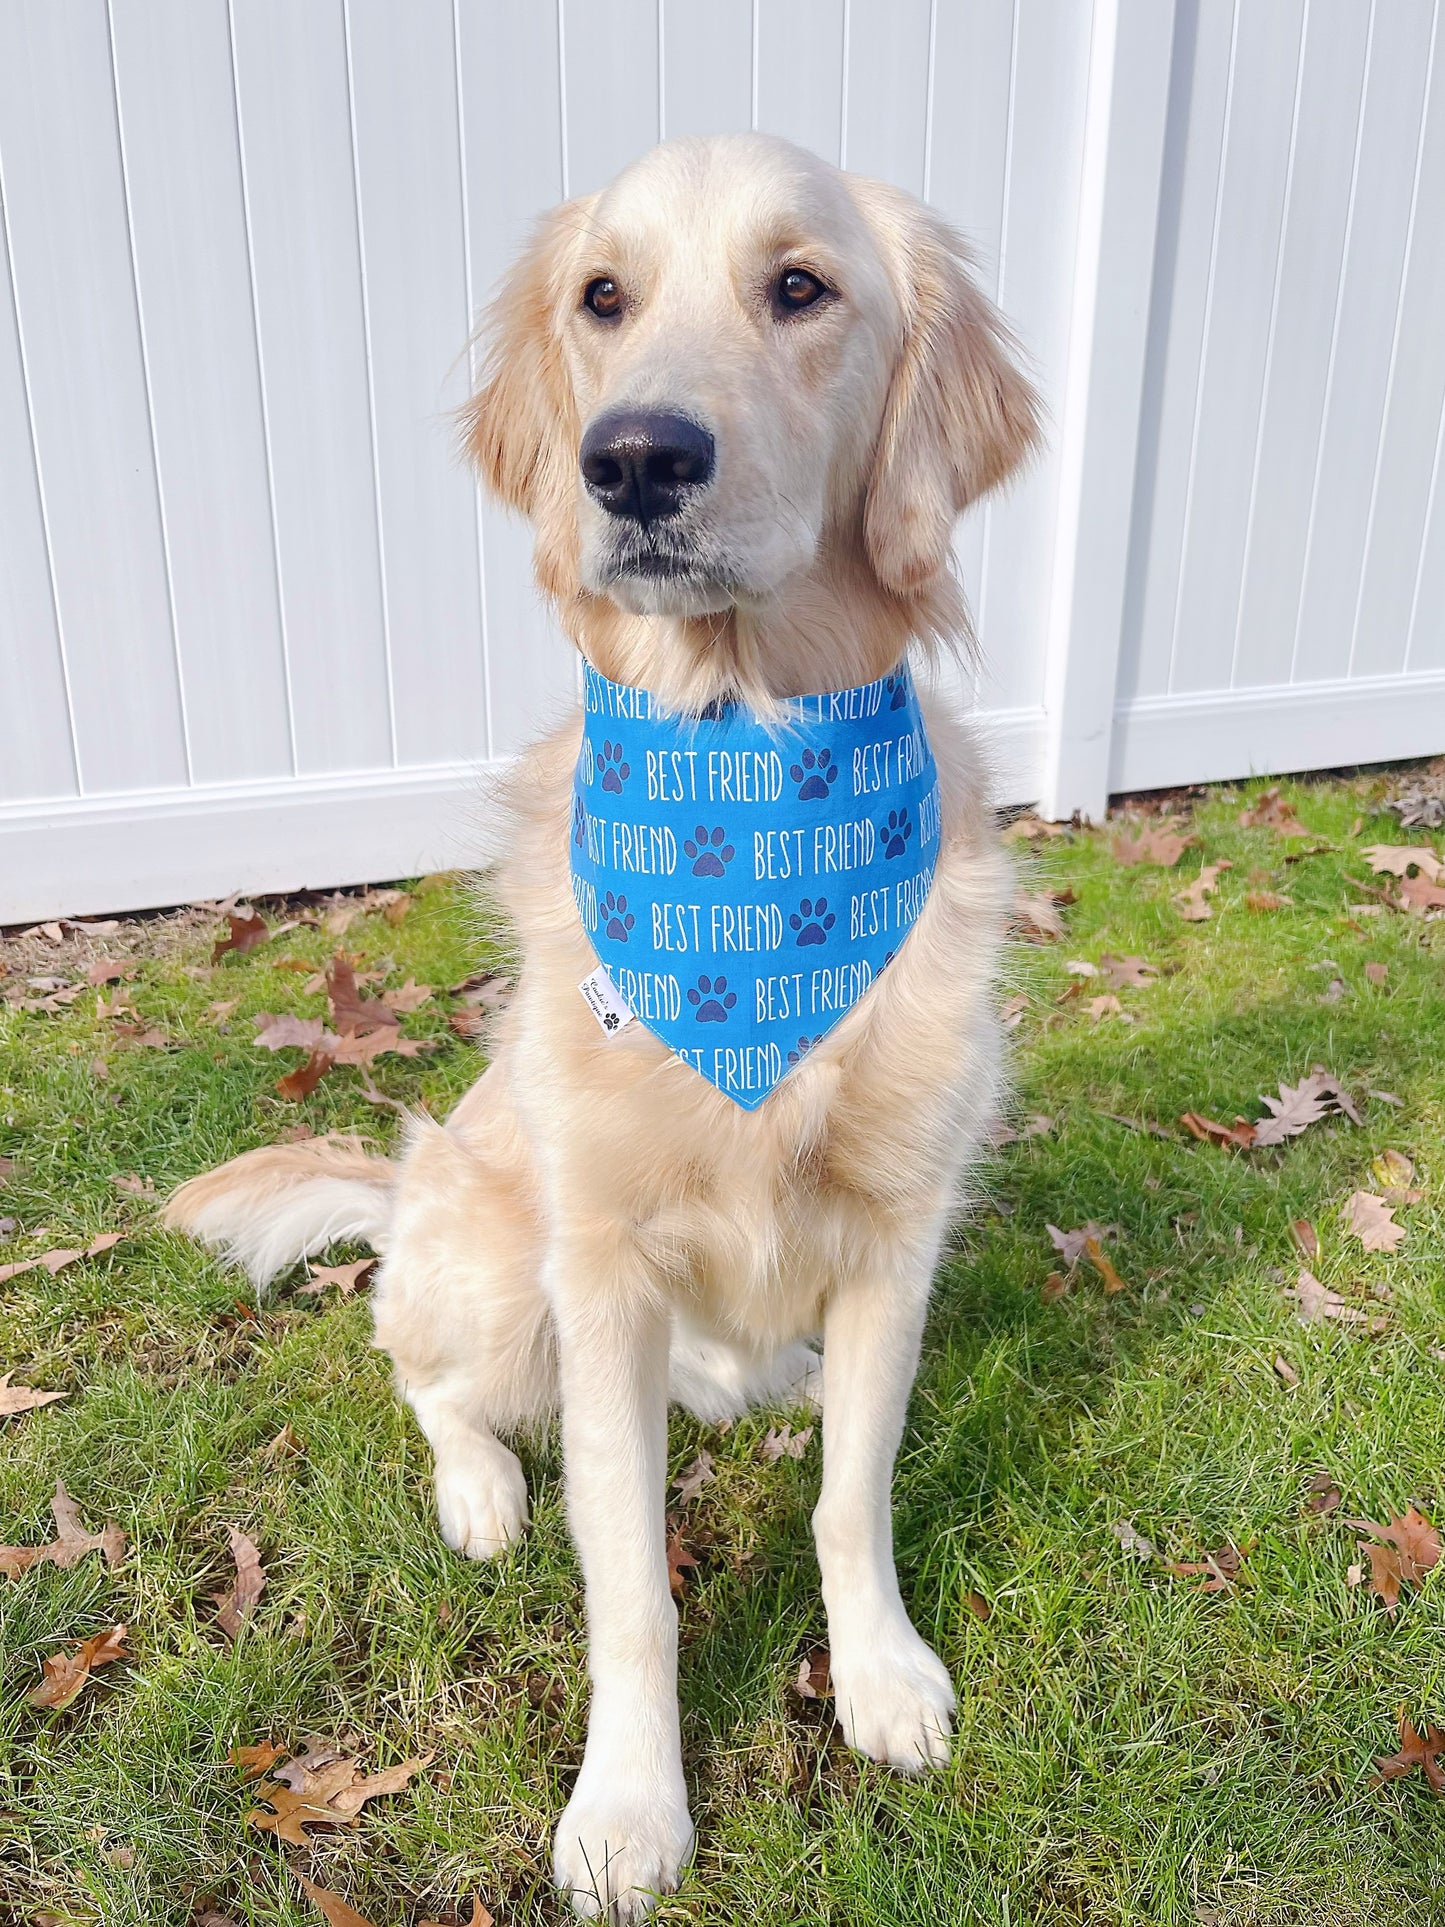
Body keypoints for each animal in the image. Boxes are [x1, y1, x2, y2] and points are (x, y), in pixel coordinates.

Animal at [163, 131, 1032, 1911]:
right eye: (602, 297)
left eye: (800, 286)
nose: (630, 460)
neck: (747, 771)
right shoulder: (607, 1271)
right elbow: (631, 1585)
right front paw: (628, 1809)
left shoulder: (895, 1241)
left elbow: (853, 1502)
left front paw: (881, 1675)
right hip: (500, 1271)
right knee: (417, 1372)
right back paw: (485, 1488)